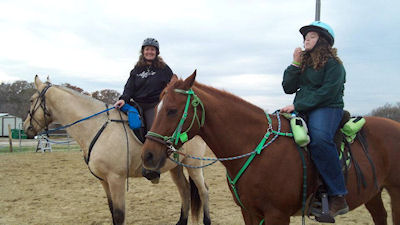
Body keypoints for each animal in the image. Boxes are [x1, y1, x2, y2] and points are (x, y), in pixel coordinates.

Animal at [23, 76, 212, 225]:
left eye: (32, 100)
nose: (26, 128)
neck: (97, 126)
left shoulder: (116, 179)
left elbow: (119, 215)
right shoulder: (104, 180)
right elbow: (112, 211)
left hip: (194, 165)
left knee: (203, 191)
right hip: (176, 168)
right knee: (185, 191)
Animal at [142, 70, 400, 225]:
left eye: (172, 110)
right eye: (158, 107)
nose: (148, 155)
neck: (256, 149)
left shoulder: (277, 215)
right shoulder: (249, 212)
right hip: (373, 193)